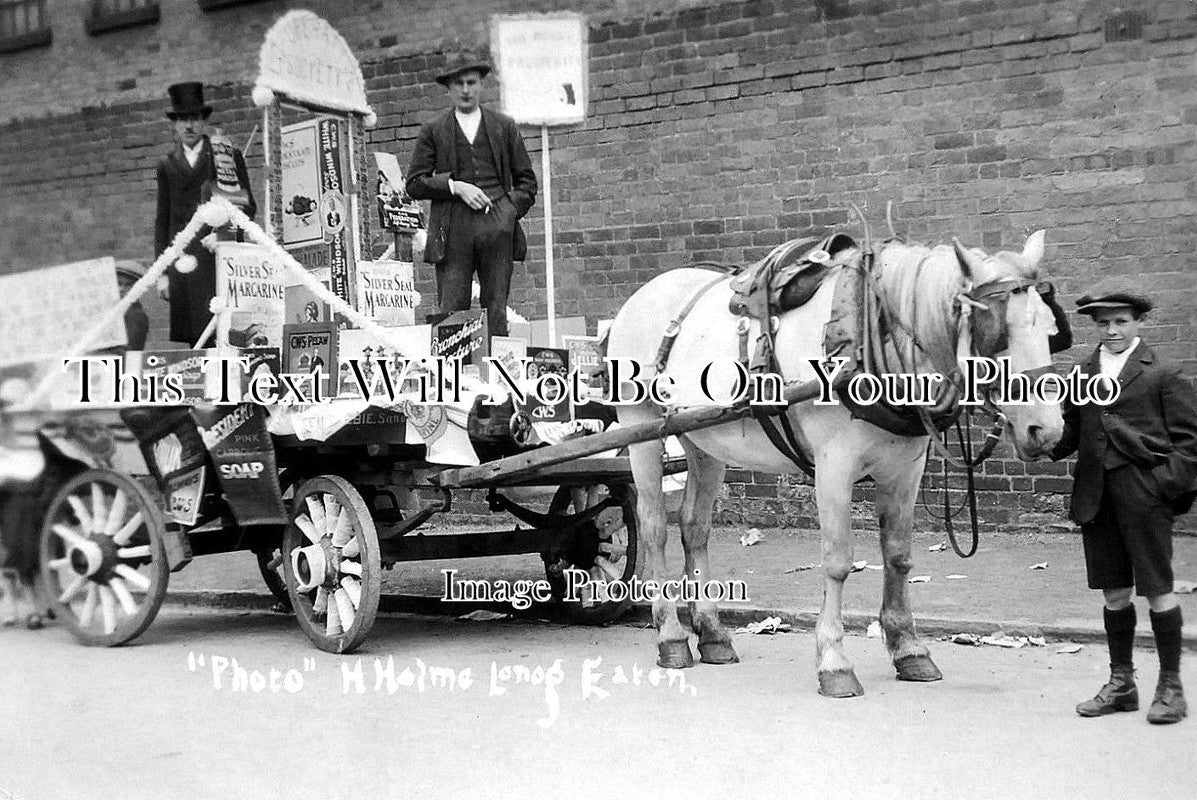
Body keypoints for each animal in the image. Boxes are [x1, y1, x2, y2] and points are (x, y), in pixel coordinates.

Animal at [608, 229, 1067, 694]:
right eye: (999, 332)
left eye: (1051, 330)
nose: (1046, 430)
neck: (869, 335)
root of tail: (639, 298)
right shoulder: (834, 466)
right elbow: (837, 561)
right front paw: (834, 661)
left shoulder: (905, 469)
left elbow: (898, 555)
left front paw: (909, 649)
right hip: (641, 427)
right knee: (653, 527)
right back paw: (671, 637)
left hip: (705, 442)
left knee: (694, 528)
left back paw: (713, 634)